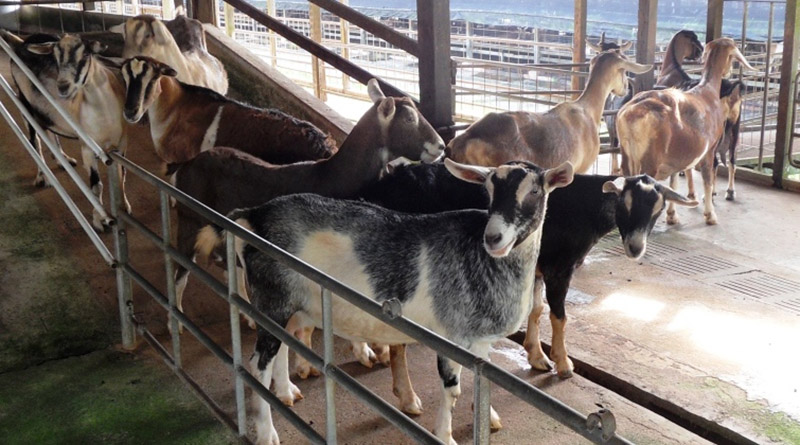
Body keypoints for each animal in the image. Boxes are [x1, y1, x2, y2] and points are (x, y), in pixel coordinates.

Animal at [25, 34, 131, 231]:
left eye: (86, 55)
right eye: (56, 58)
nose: (62, 87)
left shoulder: (121, 145)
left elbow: (122, 176)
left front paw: (125, 207)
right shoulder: (88, 148)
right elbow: (96, 186)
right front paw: (100, 221)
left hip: (50, 114)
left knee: (50, 134)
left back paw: (63, 160)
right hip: (27, 107)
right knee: (34, 141)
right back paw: (42, 177)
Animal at [170, 79, 445, 340]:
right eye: (409, 118)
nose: (440, 146)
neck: (329, 175)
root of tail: (186, 166)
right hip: (188, 218)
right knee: (180, 268)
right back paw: (177, 321)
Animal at [195, 159, 574, 445]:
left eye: (535, 191)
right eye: (488, 190)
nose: (494, 237)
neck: (481, 259)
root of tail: (254, 214)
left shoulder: (480, 343)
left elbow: (483, 381)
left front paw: (488, 417)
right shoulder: (452, 337)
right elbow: (451, 390)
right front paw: (445, 435)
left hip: (290, 304)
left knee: (282, 346)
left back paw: (287, 393)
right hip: (271, 299)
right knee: (259, 362)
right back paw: (267, 432)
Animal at [616, 37, 754, 225]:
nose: (729, 71)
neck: (708, 92)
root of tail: (631, 114)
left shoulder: (675, 157)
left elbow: (673, 184)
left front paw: (672, 216)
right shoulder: (709, 150)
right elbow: (707, 179)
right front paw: (710, 215)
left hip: (626, 155)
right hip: (649, 163)